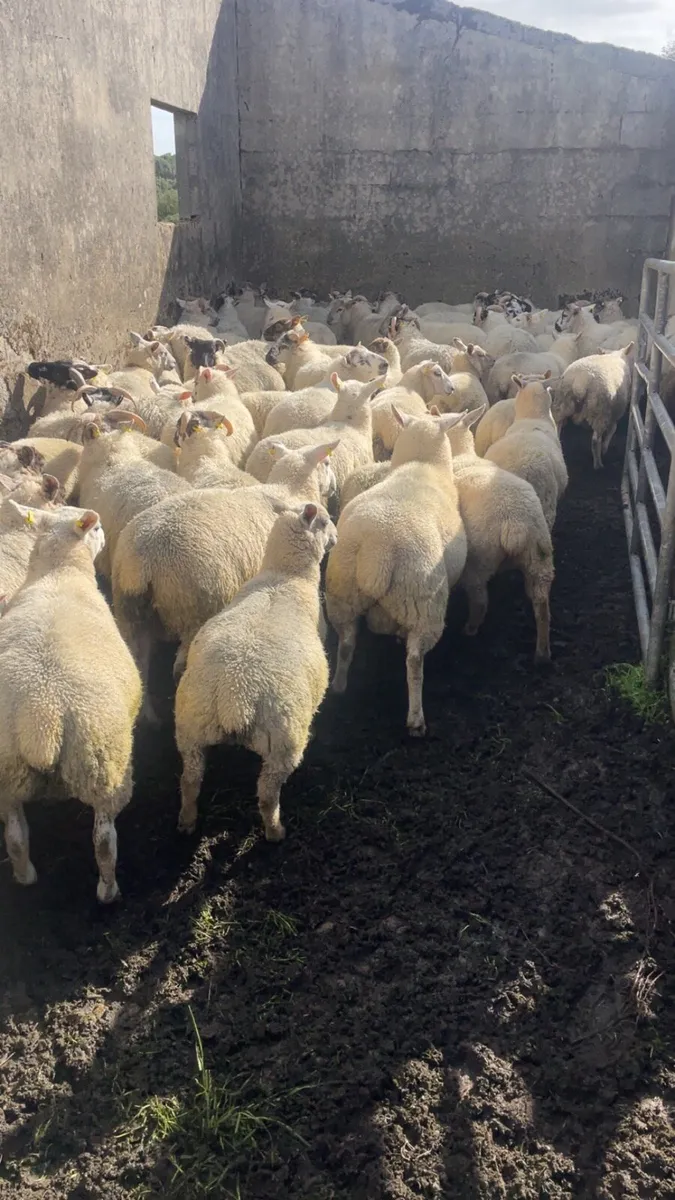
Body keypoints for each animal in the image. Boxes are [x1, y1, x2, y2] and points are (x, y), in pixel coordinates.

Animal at [0, 502, 141, 902]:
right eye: (95, 531)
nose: (104, 538)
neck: (58, 573)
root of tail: (42, 720)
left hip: (7, 773)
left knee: (15, 836)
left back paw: (25, 875)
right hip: (103, 767)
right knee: (104, 841)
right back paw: (108, 892)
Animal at [112, 441, 338, 702]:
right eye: (328, 462)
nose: (334, 487)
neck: (291, 491)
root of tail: (143, 560)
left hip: (129, 613)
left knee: (139, 667)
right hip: (195, 608)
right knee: (180, 667)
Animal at [175, 501, 336, 841]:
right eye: (325, 521)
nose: (337, 536)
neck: (284, 575)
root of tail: (236, 697)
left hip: (190, 729)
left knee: (190, 780)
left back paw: (187, 821)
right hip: (283, 743)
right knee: (266, 795)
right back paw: (276, 832)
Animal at [325, 407, 467, 736]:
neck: (421, 465)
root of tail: (378, 551)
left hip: (341, 597)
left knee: (346, 643)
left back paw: (339, 686)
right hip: (423, 604)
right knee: (414, 662)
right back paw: (416, 719)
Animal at [443, 405, 555, 661]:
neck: (460, 455)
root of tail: (517, 521)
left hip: (477, 560)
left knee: (480, 601)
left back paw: (469, 629)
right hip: (540, 555)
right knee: (542, 603)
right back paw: (542, 652)